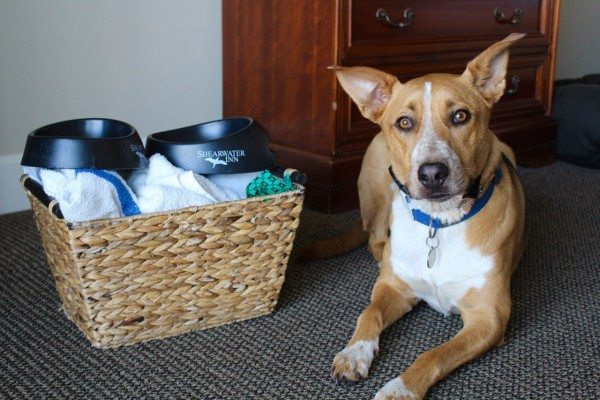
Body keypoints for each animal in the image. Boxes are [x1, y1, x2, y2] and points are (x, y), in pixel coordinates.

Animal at [300, 33, 524, 400]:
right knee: (375, 240)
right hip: (379, 185)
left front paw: (400, 388)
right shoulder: (394, 288)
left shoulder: (489, 318)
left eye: (461, 116)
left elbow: (433, 354)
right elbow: (369, 312)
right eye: (404, 123)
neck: (440, 223)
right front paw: (354, 352)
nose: (432, 173)